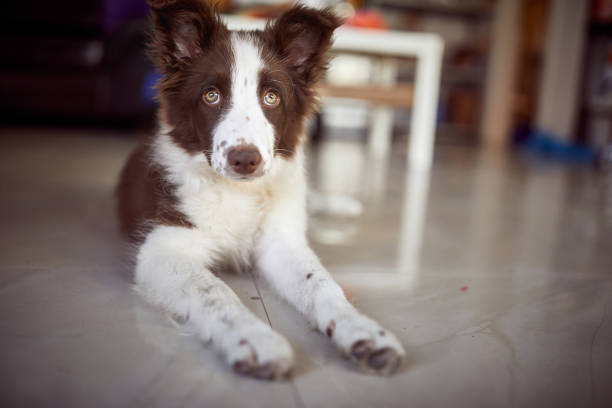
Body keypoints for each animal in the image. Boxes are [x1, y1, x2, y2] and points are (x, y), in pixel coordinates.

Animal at [117, 0, 406, 380]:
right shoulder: (163, 249)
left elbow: (321, 282)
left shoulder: (281, 241)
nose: (244, 160)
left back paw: (342, 205)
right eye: (211, 96)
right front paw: (256, 341)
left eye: (271, 97)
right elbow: (214, 292)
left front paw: (364, 332)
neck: (238, 192)